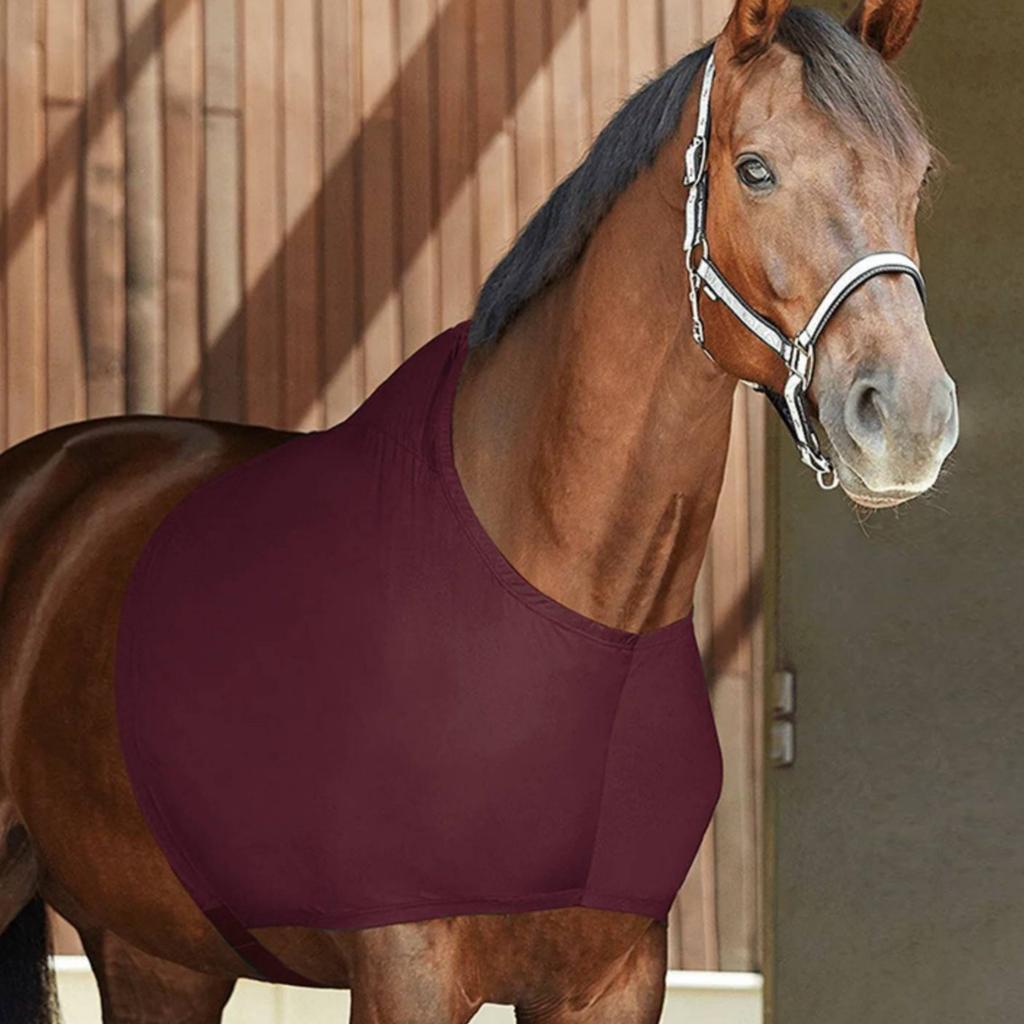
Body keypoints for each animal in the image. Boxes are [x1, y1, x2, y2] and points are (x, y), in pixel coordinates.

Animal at [0, 1, 958, 1021]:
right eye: (755, 169)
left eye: (916, 178)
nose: (908, 417)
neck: (576, 618)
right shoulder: (406, 974)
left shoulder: (612, 982)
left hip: (158, 957)